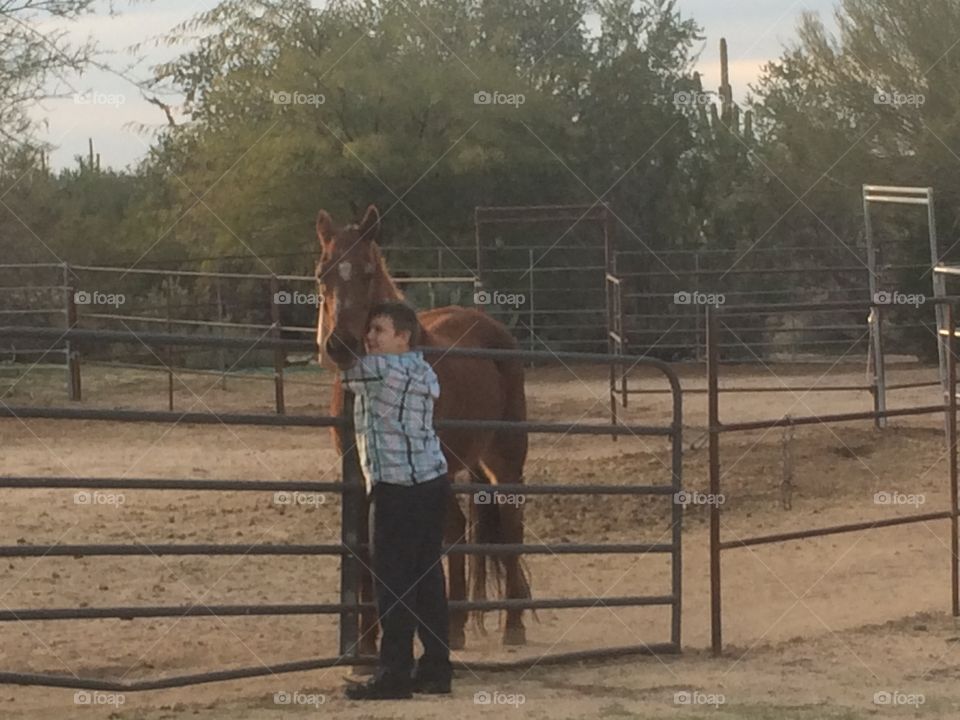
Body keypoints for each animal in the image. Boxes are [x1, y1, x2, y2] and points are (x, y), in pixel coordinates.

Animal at [316, 202, 532, 652]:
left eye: (367, 272)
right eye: (322, 273)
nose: (340, 345)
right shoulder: (361, 476)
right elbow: (366, 549)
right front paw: (366, 643)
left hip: (504, 459)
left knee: (509, 523)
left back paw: (511, 625)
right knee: (458, 529)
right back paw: (458, 623)